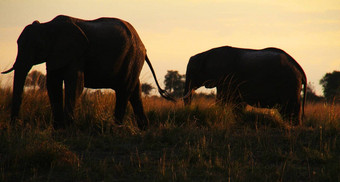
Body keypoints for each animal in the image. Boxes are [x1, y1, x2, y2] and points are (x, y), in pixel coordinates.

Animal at [1, 15, 174, 129]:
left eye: (37, 46)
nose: (16, 124)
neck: (48, 25)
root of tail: (143, 45)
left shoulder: (76, 54)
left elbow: (75, 83)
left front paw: (68, 127)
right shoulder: (56, 55)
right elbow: (52, 84)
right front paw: (58, 128)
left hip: (132, 56)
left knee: (124, 90)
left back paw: (116, 128)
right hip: (132, 60)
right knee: (134, 91)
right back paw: (143, 128)